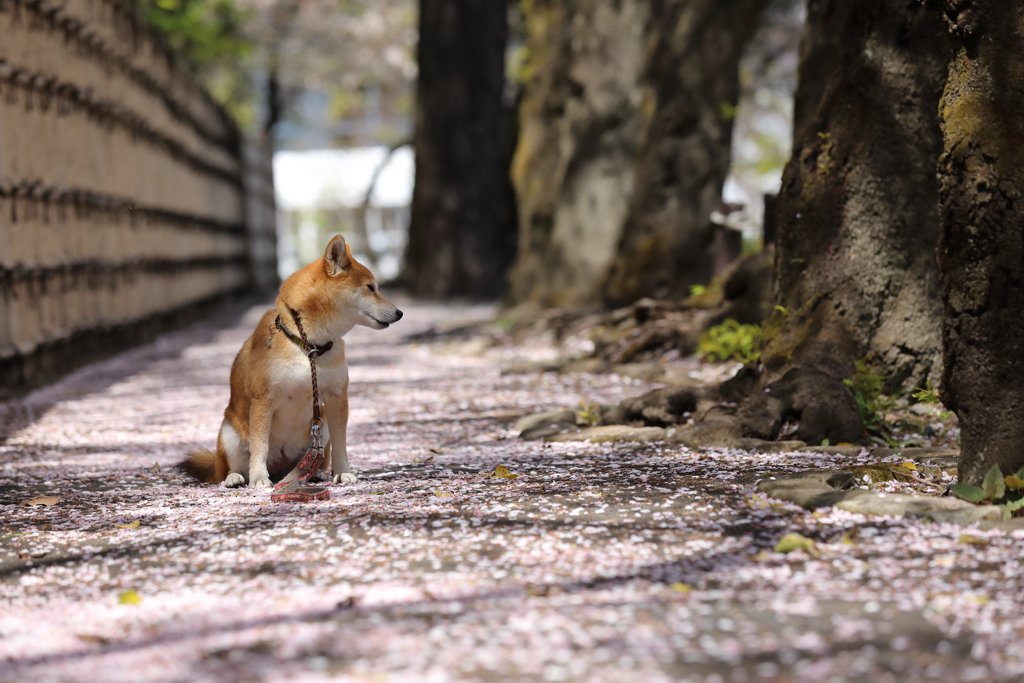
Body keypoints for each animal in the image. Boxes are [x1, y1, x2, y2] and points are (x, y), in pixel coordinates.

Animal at [178, 237, 401, 489]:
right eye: (370, 287)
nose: (400, 312)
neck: (309, 345)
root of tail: (281, 469)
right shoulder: (263, 401)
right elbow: (260, 446)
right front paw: (258, 478)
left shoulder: (336, 398)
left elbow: (341, 443)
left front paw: (343, 472)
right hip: (229, 432)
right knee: (230, 467)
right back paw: (235, 477)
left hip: (321, 426)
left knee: (319, 455)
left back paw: (317, 473)